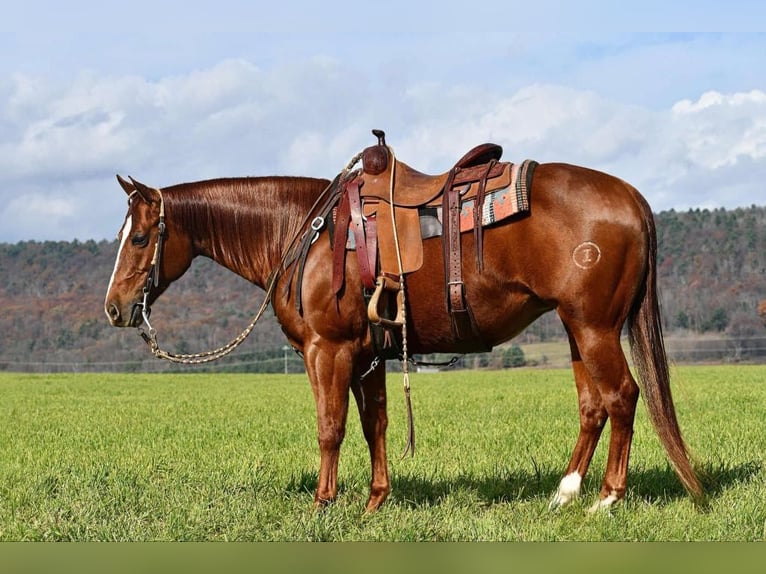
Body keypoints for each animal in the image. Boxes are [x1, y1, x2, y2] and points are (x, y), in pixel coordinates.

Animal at [103, 152, 708, 512]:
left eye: (140, 238)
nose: (114, 308)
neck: (303, 232)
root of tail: (631, 197)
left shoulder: (327, 350)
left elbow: (330, 427)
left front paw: (323, 503)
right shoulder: (368, 353)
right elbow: (375, 424)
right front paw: (376, 500)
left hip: (595, 326)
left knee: (622, 396)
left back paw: (607, 498)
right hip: (573, 326)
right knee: (593, 405)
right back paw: (565, 492)